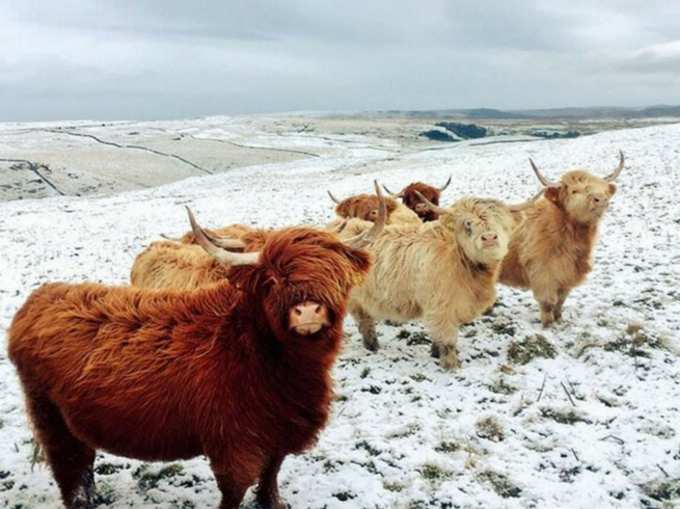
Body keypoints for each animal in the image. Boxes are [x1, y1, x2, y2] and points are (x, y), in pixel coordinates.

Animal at [500, 151, 628, 326]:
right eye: (574, 191)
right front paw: (548, 324)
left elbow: (560, 301)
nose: (600, 199)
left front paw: (560, 319)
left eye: (602, 187)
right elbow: (547, 304)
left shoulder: (567, 276)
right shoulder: (543, 275)